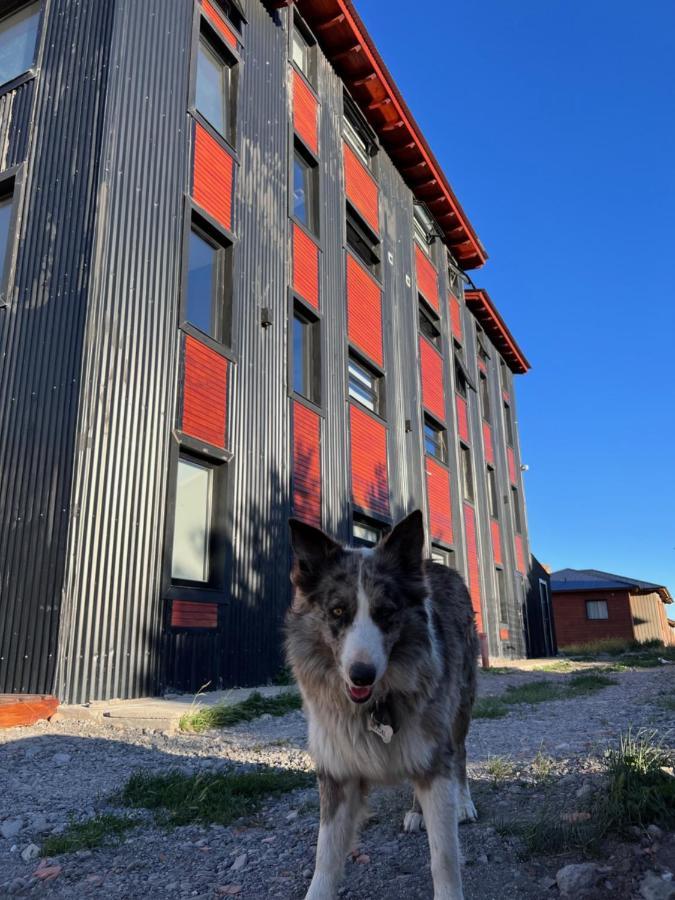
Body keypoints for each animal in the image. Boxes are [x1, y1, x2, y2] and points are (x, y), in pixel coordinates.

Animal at [286, 510, 480, 900]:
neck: (374, 704)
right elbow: (325, 857)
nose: (361, 675)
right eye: (337, 611)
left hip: (458, 711)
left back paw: (463, 802)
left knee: (460, 754)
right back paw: (417, 813)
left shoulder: (434, 756)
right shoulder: (337, 771)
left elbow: (444, 856)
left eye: (386, 612)